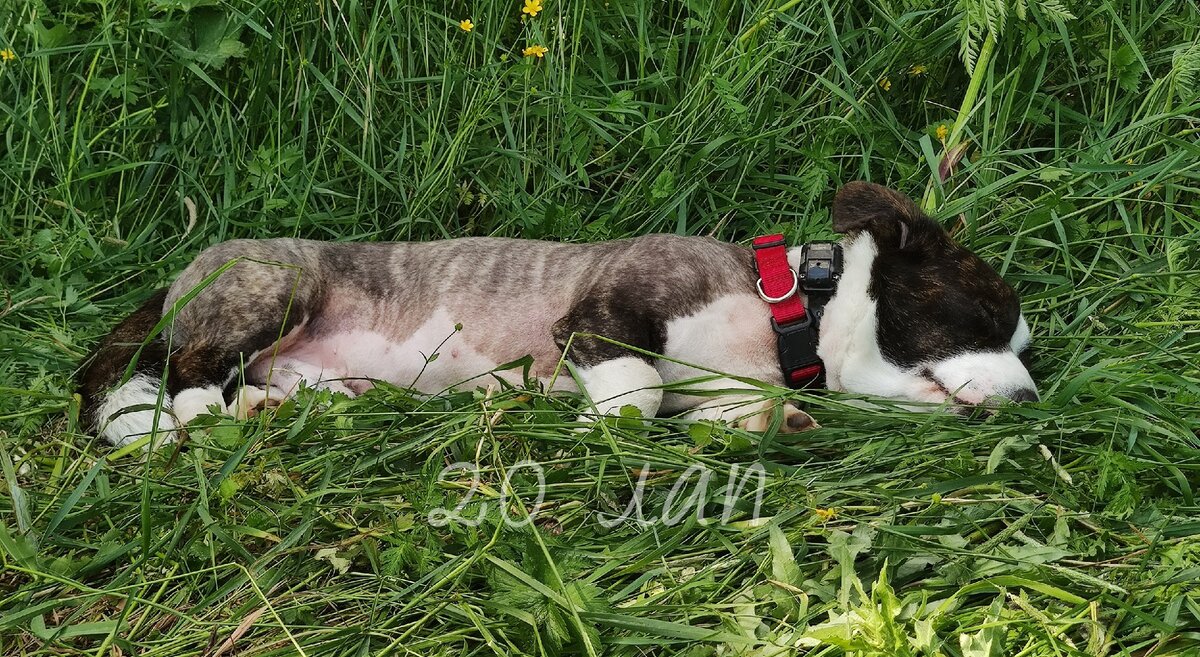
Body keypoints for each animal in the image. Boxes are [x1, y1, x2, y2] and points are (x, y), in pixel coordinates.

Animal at [79, 182, 1036, 445]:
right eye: (985, 318)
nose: (1031, 401)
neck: (788, 307)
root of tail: (178, 276)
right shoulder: (604, 312)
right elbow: (636, 388)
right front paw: (586, 421)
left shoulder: (725, 384)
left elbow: (741, 410)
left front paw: (776, 421)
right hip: (273, 291)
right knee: (185, 375)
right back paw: (203, 417)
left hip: (308, 365)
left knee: (255, 385)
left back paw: (271, 408)